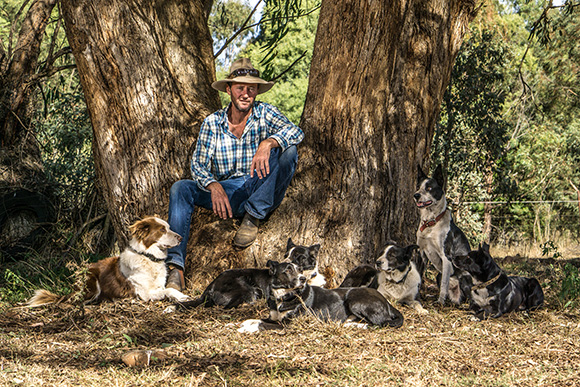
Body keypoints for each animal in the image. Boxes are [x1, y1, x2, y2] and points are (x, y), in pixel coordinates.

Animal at [240, 260, 404, 332]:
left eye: (300, 270)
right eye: (288, 270)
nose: (302, 279)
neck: (285, 295)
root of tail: (387, 302)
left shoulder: (288, 324)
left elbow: (261, 324)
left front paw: (245, 329)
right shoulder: (274, 317)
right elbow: (256, 319)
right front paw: (242, 323)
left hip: (355, 300)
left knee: (379, 323)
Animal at [412, 166, 472, 306]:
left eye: (429, 188)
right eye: (418, 187)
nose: (416, 195)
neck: (431, 222)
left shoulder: (446, 257)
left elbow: (444, 283)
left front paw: (440, 301)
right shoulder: (422, 253)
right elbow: (419, 275)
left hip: (463, 274)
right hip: (438, 275)